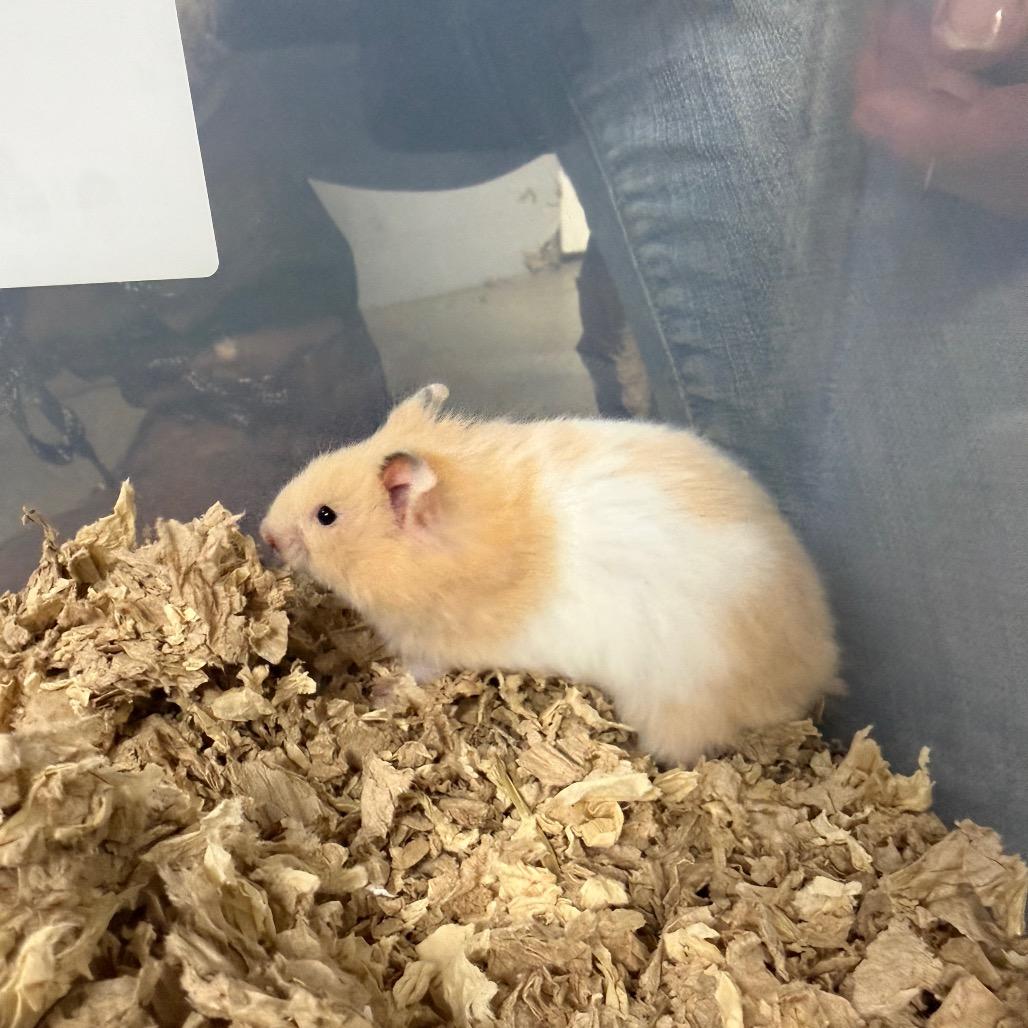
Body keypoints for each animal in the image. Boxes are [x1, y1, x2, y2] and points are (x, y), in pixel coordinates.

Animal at [261, 384, 839, 766]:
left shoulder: (430, 643)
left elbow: (411, 675)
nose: (265, 533)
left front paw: (380, 693)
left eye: (326, 516)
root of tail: (814, 676)